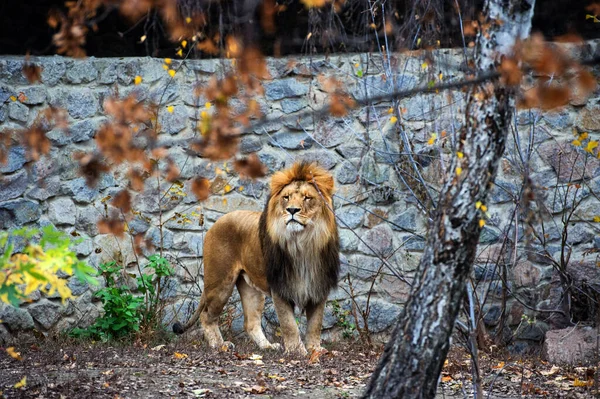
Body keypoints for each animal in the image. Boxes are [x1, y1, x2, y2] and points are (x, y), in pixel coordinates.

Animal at [176, 161, 340, 354]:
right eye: (286, 197)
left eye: (307, 198)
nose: (292, 210)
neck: (302, 243)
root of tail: (217, 222)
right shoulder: (280, 287)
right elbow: (289, 324)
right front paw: (296, 351)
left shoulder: (318, 286)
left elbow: (315, 324)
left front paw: (315, 350)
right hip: (220, 282)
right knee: (206, 315)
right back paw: (219, 345)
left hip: (251, 288)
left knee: (250, 323)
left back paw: (267, 346)